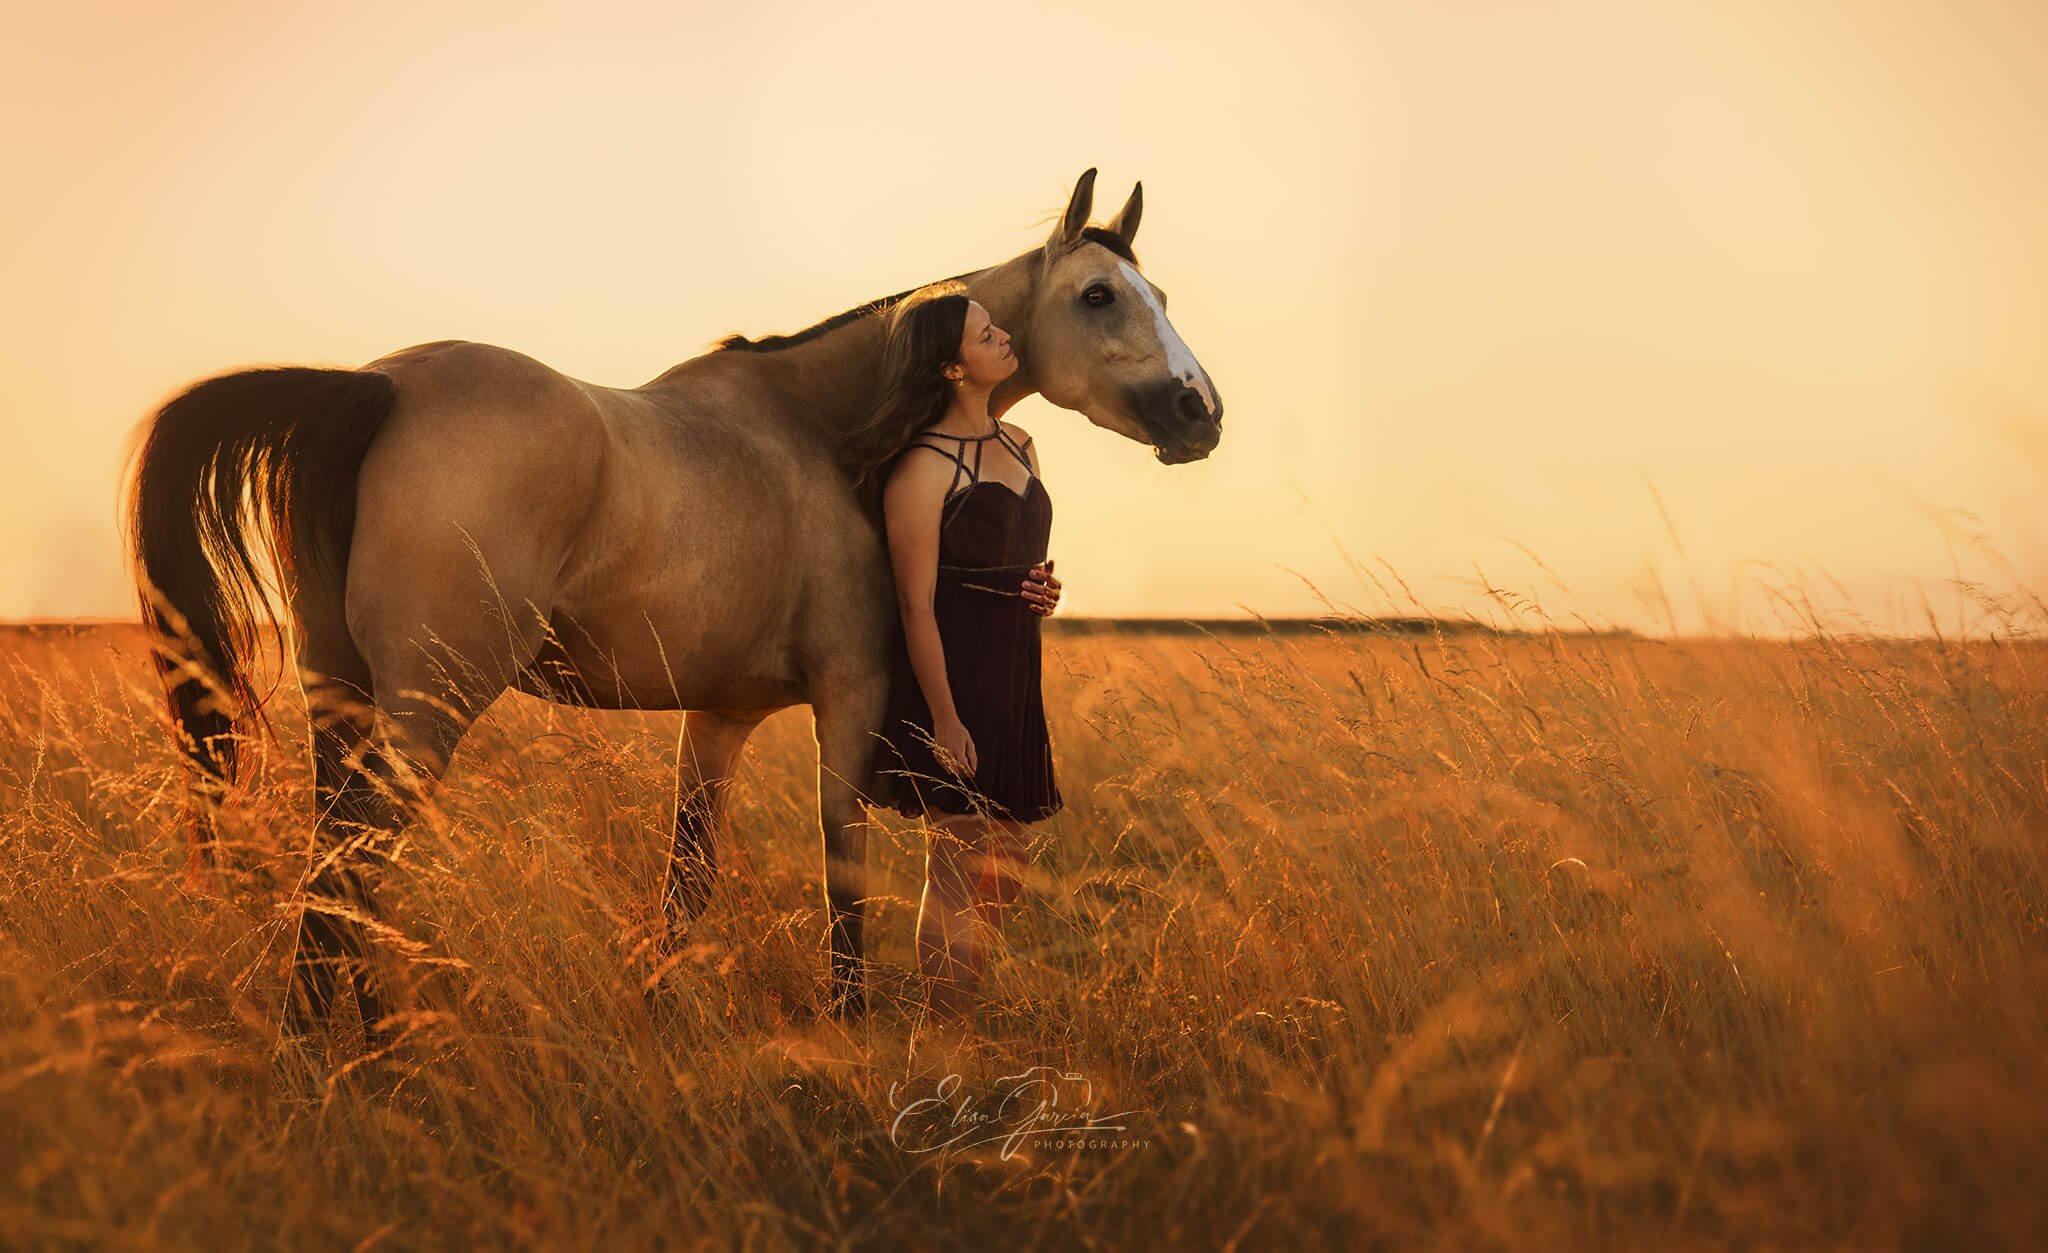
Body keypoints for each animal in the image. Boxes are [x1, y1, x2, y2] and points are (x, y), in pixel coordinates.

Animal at [123, 167, 1223, 1042]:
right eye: (1097, 295)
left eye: (1158, 292)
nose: (1199, 410)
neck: (824, 434)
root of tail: (377, 388)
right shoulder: (853, 695)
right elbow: (845, 865)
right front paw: (850, 1021)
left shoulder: (719, 716)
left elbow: (686, 874)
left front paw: (656, 1011)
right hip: (428, 704)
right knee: (353, 860)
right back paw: (369, 1057)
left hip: (343, 693)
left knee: (337, 853)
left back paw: (343, 1042)